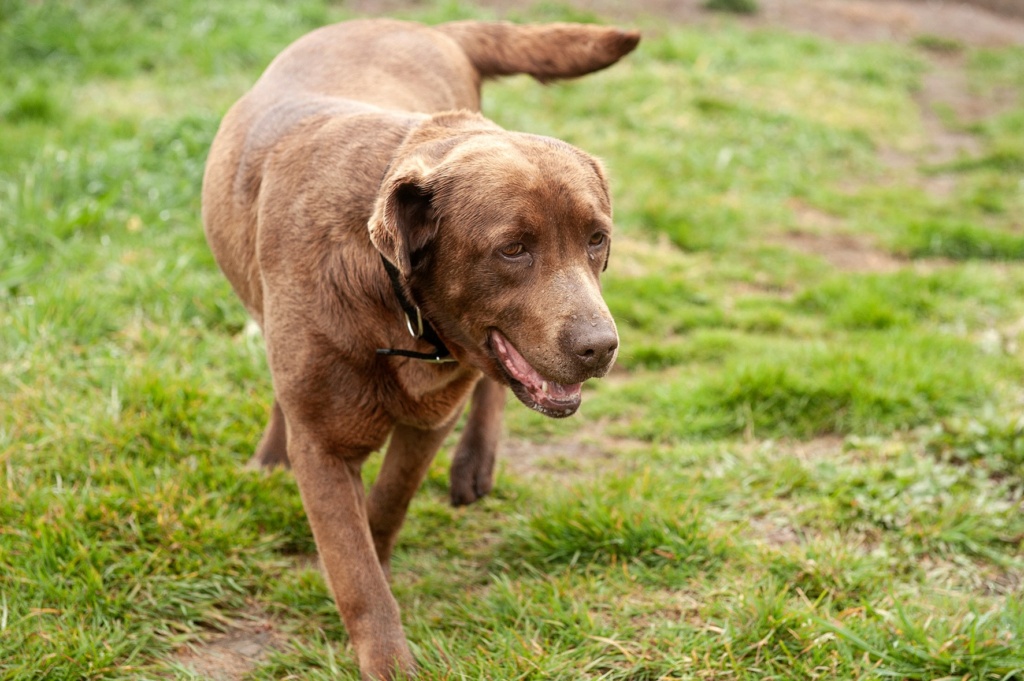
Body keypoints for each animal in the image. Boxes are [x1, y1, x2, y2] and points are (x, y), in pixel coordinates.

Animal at [200, 18, 638, 675]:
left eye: (596, 239)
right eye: (513, 249)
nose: (600, 347)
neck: (395, 306)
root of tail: (426, 25)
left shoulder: (429, 421)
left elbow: (384, 511)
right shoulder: (322, 445)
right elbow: (355, 569)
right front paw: (388, 662)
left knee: (491, 389)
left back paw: (475, 464)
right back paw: (270, 455)